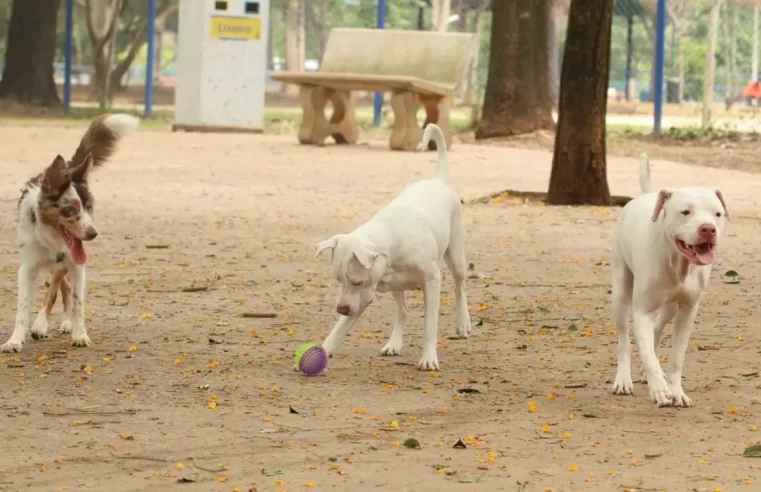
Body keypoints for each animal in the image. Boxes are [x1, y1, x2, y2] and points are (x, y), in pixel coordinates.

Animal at [314, 125, 470, 370]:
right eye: (338, 280)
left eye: (357, 281)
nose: (341, 309)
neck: (390, 241)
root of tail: (437, 181)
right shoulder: (360, 298)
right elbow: (338, 329)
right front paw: (322, 350)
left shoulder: (432, 282)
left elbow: (430, 326)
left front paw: (428, 358)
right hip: (397, 287)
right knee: (402, 311)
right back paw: (394, 343)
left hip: (456, 258)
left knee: (460, 286)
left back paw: (463, 322)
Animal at [608, 154, 728, 408]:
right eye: (685, 212)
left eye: (717, 214)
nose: (708, 229)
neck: (677, 262)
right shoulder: (642, 310)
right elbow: (645, 351)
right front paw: (659, 389)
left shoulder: (687, 311)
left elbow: (676, 358)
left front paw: (675, 390)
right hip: (621, 292)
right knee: (624, 338)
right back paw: (623, 379)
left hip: (670, 307)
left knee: (657, 329)